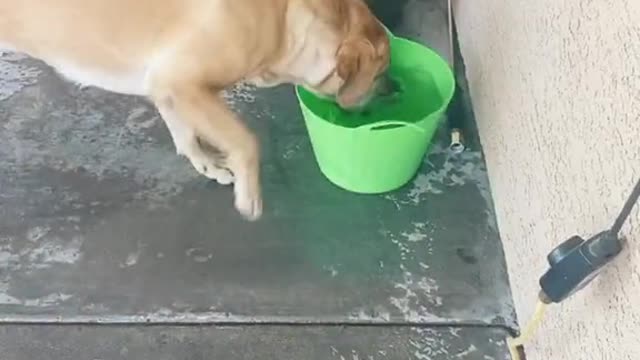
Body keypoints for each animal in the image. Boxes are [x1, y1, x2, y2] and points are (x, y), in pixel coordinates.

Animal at [0, 0, 390, 219]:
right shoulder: (183, 82)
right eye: (381, 71)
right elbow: (246, 141)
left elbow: (186, 135)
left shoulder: (167, 88)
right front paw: (249, 195)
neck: (286, 22)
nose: (393, 88)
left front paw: (208, 165)